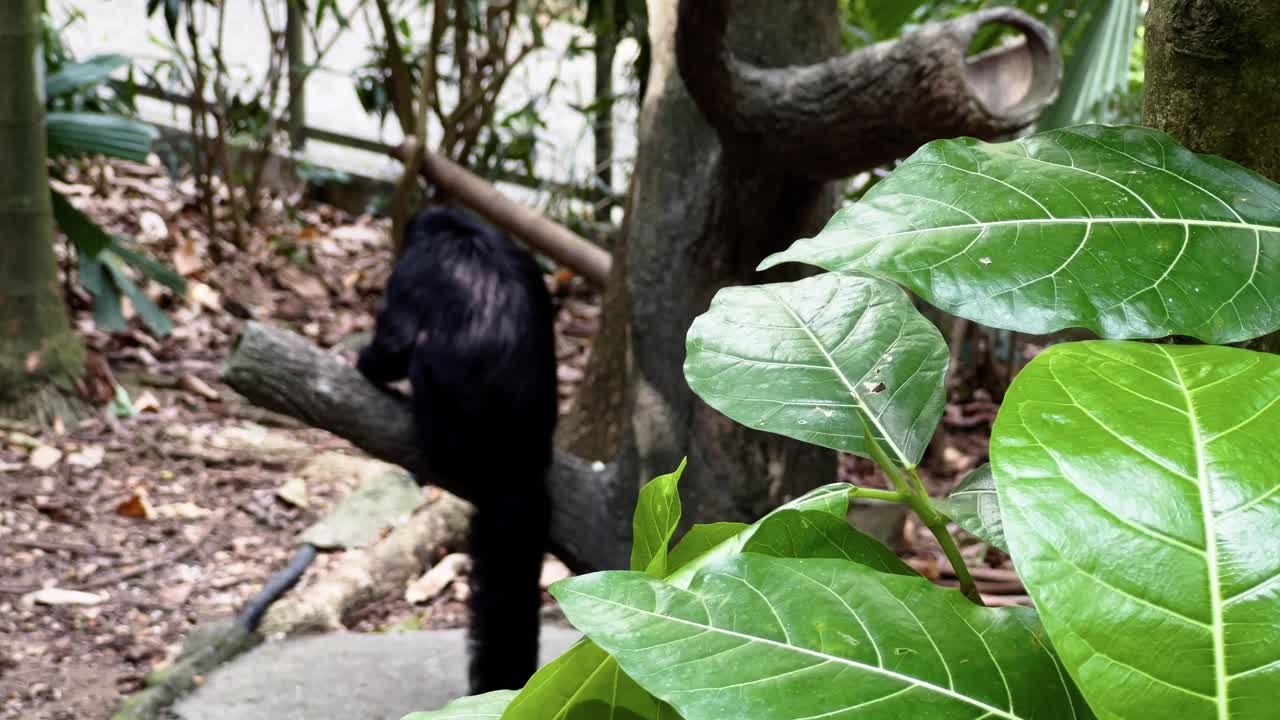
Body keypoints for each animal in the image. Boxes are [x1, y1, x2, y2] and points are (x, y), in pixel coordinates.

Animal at [356, 207, 558, 694]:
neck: (466, 234)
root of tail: (518, 466)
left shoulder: (413, 272)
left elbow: (395, 340)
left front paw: (366, 362)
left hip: (450, 433)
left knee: (419, 351)